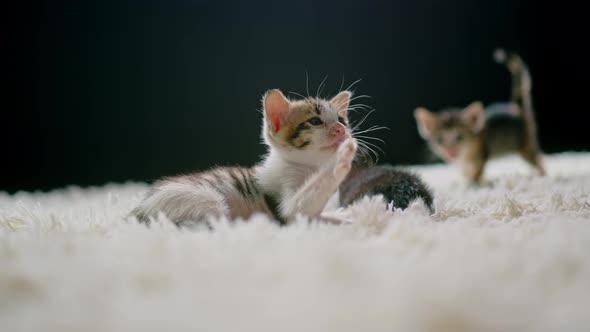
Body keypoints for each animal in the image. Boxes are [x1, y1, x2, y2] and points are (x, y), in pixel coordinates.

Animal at [131, 89, 358, 227]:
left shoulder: (314, 216)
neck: (309, 166)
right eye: (315, 121)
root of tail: (136, 214)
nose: (341, 130)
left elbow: (324, 217)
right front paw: (342, 158)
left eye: (341, 120)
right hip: (202, 200)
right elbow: (299, 206)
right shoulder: (288, 212)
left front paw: (350, 220)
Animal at [416, 49, 544, 183]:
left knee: (537, 159)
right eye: (439, 140)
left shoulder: (481, 153)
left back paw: (541, 173)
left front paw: (473, 182)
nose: (450, 152)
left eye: (460, 137)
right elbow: (465, 171)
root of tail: (517, 110)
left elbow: (477, 172)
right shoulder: (462, 162)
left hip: (526, 143)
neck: (465, 154)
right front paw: (463, 179)